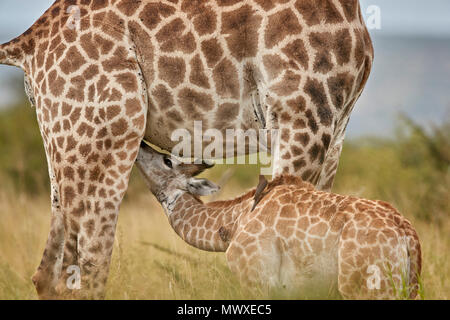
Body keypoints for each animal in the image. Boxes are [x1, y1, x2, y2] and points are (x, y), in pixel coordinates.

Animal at [0, 0, 372, 300]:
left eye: (167, 158)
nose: (147, 150)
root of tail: (27, 41)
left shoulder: (335, 130)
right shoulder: (303, 114)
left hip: (64, 140)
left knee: (49, 274)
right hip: (107, 131)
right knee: (87, 269)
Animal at [135, 142, 420, 300]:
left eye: (167, 160)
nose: (140, 146)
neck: (237, 218)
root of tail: (408, 235)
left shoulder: (256, 280)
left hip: (366, 287)